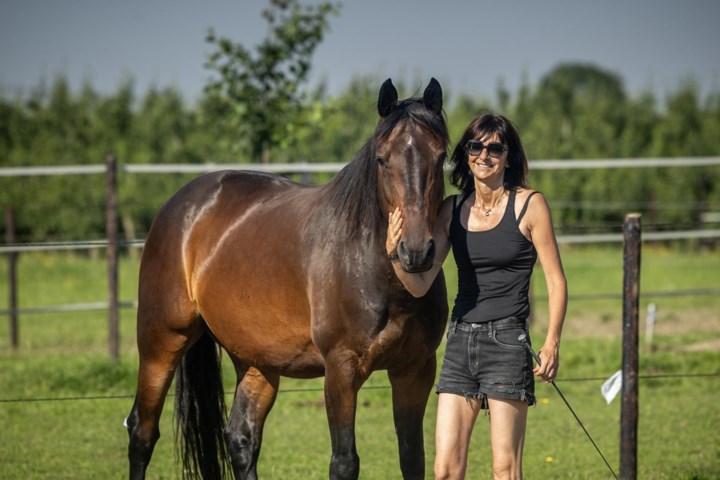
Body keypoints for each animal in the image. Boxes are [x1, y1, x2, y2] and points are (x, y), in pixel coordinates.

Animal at [126, 79, 448, 480]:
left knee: (241, 438)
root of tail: (181, 204)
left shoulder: (415, 370)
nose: (415, 251)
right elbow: (345, 462)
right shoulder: (340, 371)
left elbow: (412, 457)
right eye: (382, 159)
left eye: (441, 157)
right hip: (161, 343)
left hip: (255, 360)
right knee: (141, 432)